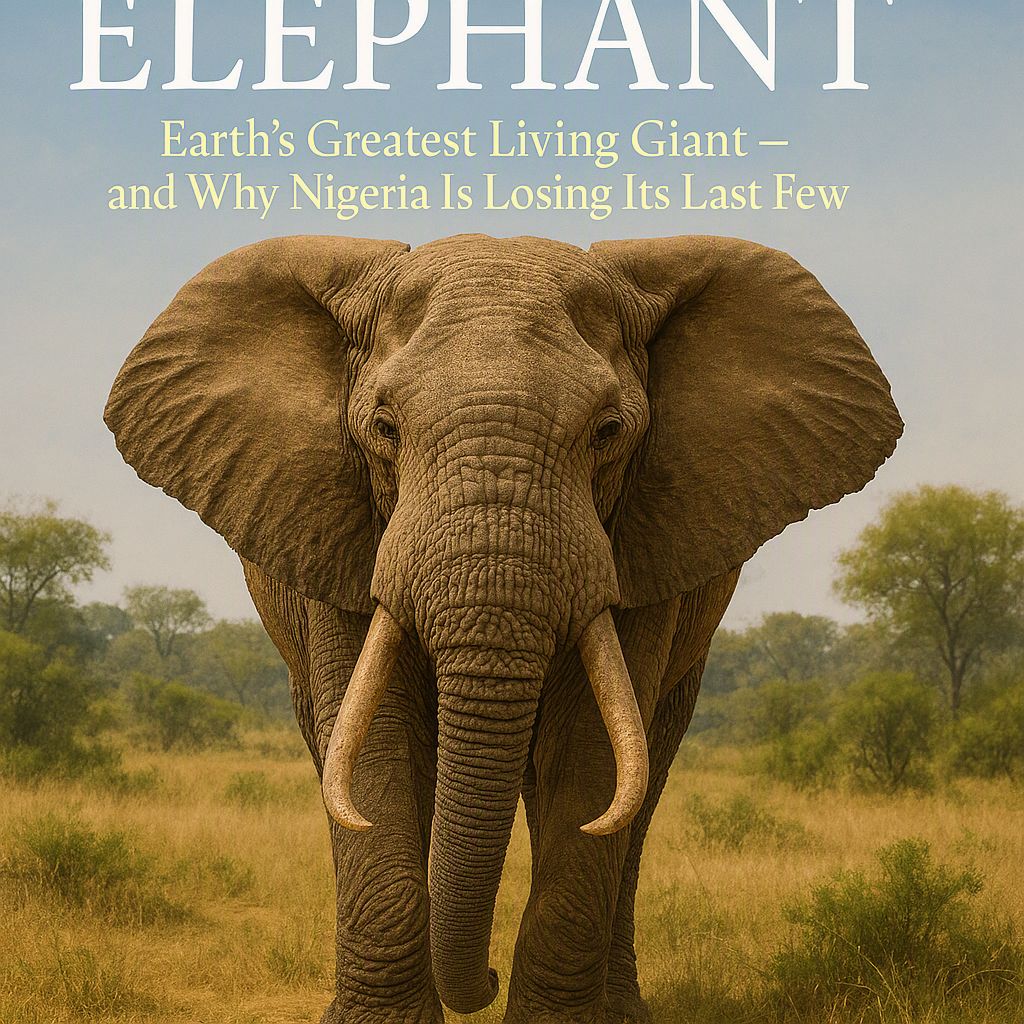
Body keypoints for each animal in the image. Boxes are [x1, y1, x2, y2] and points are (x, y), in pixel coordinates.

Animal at [104, 233, 902, 1024]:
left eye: (608, 432)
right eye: (384, 430)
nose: (483, 978)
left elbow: (591, 756)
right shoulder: (335, 523)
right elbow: (374, 748)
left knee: (638, 783)